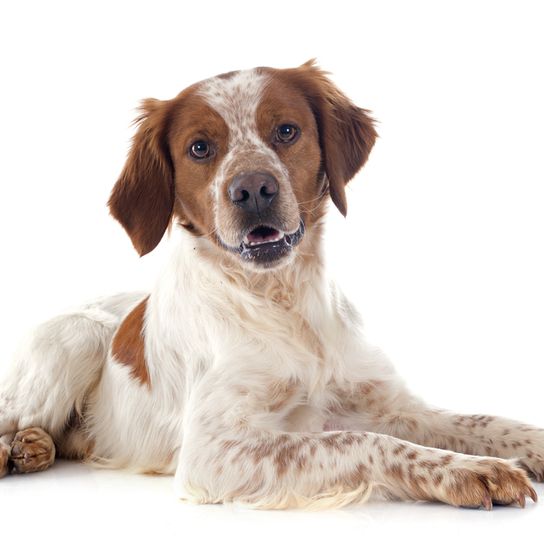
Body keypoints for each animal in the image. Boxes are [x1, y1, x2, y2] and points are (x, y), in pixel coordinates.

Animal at [1, 61, 544, 508]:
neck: (286, 301)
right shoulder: (213, 451)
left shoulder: (385, 403)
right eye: (200, 148)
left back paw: (37, 446)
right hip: (78, 334)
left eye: (286, 130)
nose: (253, 189)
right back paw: (18, 447)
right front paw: (470, 471)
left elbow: (477, 420)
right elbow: (360, 441)